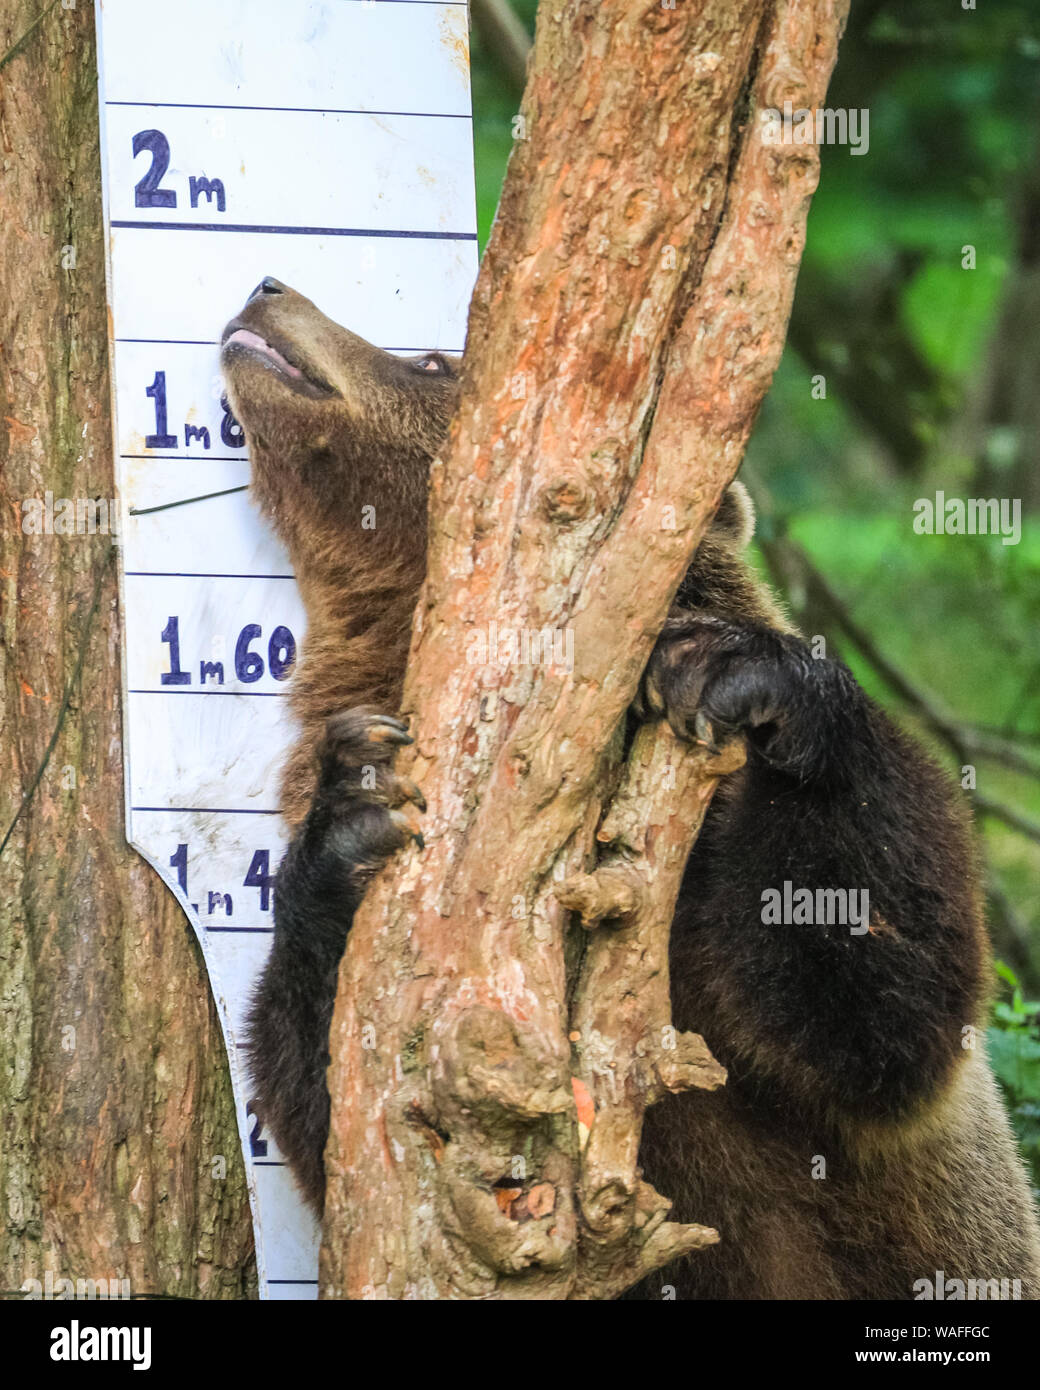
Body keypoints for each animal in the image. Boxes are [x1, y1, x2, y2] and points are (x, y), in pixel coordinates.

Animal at [219, 273, 1040, 1301]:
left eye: (437, 360)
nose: (268, 287)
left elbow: (882, 1007)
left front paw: (736, 672)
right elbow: (343, 1104)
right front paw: (353, 816)